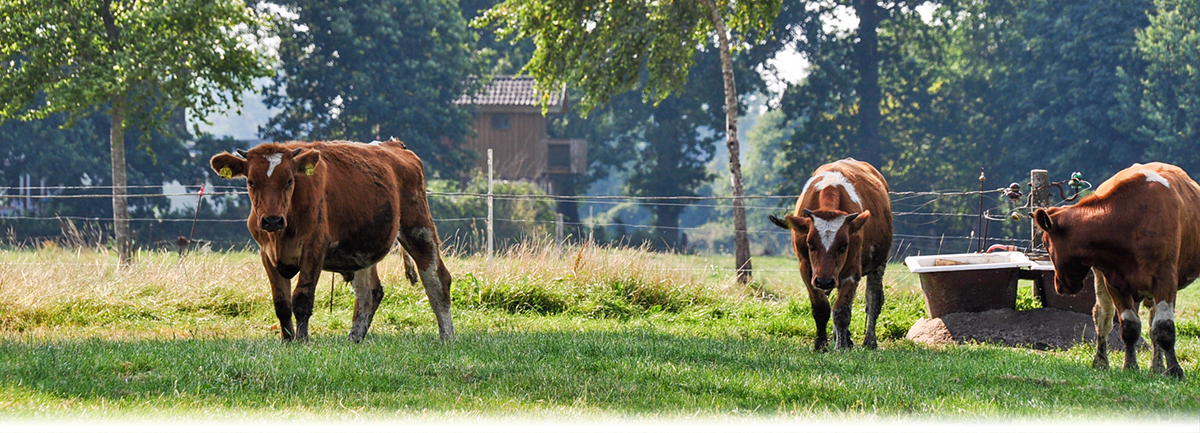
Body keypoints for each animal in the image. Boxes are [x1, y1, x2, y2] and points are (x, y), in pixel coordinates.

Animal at [211, 139, 453, 343]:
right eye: (251, 182)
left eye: (289, 180)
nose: (272, 219)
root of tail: (392, 145)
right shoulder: (267, 254)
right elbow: (281, 303)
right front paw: (287, 341)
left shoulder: (314, 250)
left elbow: (302, 299)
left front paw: (302, 341)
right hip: (362, 248)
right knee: (369, 292)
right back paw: (354, 339)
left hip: (419, 228)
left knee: (437, 279)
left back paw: (447, 336)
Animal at [768, 158, 892, 350]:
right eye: (810, 243)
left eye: (844, 245)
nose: (824, 281)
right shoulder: (807, 269)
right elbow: (821, 307)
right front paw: (821, 344)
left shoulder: (852, 270)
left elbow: (842, 310)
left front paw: (840, 346)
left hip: (878, 264)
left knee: (873, 300)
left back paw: (869, 341)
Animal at [1032, 161, 1200, 379]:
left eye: (1045, 243)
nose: (1059, 286)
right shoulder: (1115, 281)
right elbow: (1129, 326)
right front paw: (1130, 366)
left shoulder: (1165, 278)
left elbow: (1163, 327)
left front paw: (1174, 371)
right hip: (1101, 278)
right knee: (1102, 316)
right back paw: (1102, 361)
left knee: (1153, 322)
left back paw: (1157, 366)